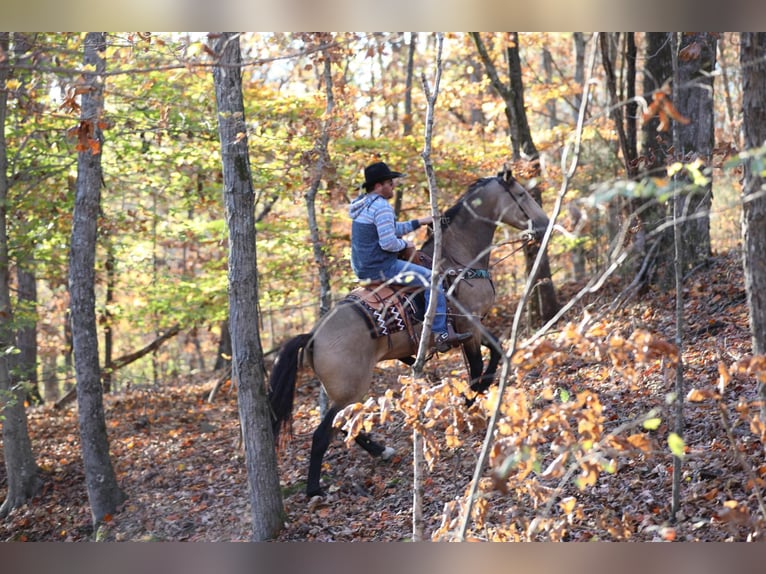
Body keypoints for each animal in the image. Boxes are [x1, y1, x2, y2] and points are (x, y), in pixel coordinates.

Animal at [268, 168, 548, 500]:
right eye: (521, 195)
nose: (544, 223)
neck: (458, 261)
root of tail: (312, 336)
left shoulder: (474, 326)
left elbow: (495, 352)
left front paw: (476, 393)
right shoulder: (469, 325)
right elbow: (484, 360)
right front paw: (470, 399)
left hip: (347, 390)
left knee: (347, 422)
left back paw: (382, 451)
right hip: (351, 386)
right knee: (324, 432)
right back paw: (314, 490)